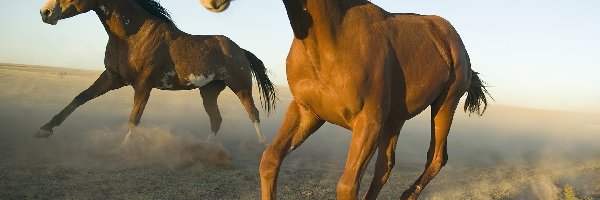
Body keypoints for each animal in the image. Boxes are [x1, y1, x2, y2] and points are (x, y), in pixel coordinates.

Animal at [38, 0, 278, 148]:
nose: (45, 12)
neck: (133, 36)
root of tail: (240, 50)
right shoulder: (112, 77)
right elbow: (79, 98)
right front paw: (44, 129)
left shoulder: (143, 84)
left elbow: (134, 119)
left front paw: (121, 150)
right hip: (209, 91)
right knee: (216, 119)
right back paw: (204, 148)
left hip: (241, 87)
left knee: (253, 114)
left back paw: (262, 147)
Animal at [204, 0, 490, 200]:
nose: (212, 2)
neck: (331, 38)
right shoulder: (307, 111)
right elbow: (270, 159)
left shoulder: (368, 123)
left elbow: (347, 185)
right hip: (394, 120)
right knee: (385, 166)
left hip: (445, 103)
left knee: (436, 157)